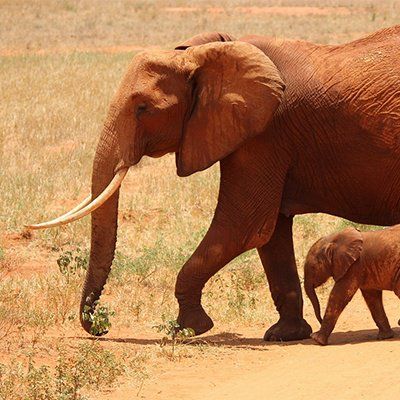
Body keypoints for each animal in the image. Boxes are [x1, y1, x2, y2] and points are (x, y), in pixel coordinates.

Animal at [27, 27, 400, 340]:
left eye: (143, 108)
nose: (101, 327)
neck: (205, 55)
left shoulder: (265, 133)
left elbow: (242, 227)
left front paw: (186, 329)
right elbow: (270, 233)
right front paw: (285, 335)